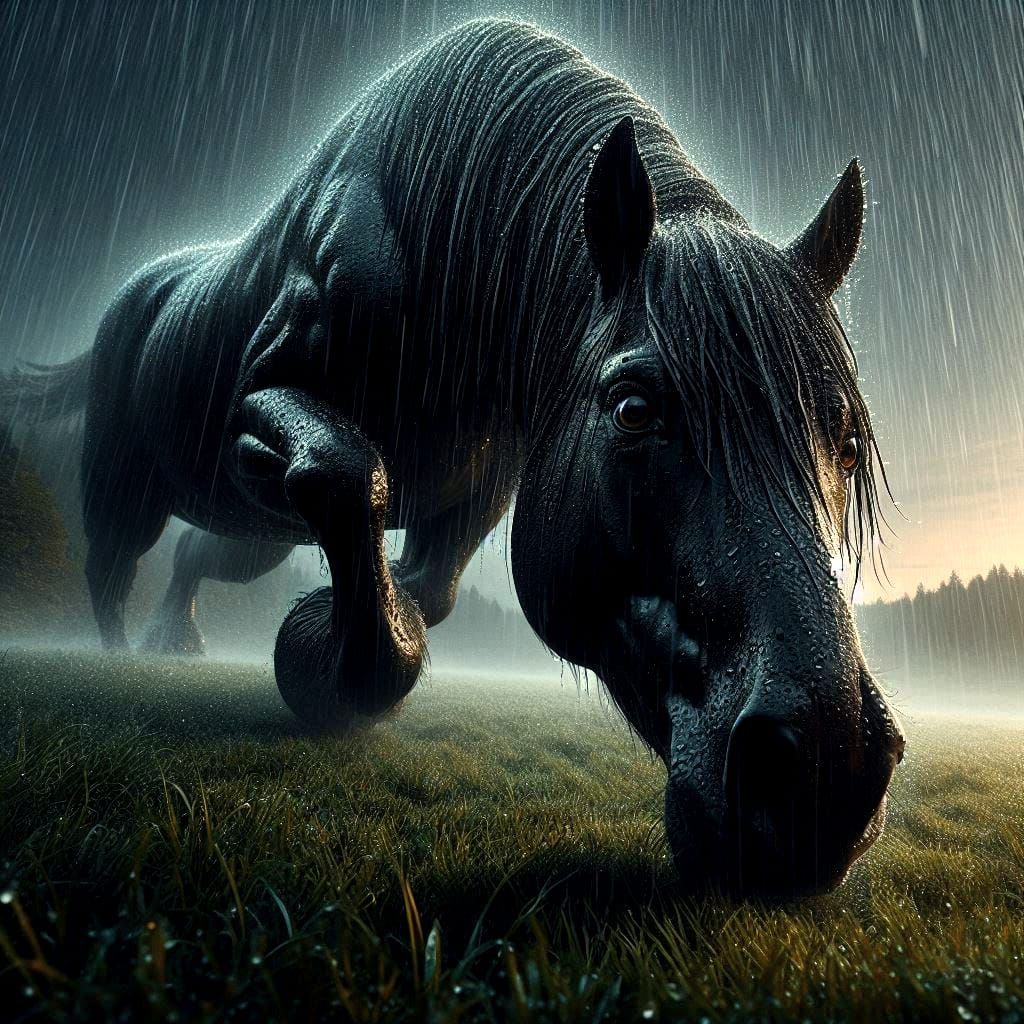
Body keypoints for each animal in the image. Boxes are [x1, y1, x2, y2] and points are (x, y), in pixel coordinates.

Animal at [3, 18, 904, 897]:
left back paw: (176, 644)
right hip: (128, 495)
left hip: (253, 537)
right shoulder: (257, 410)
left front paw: (355, 623)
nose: (828, 777)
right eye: (634, 409)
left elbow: (427, 587)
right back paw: (122, 661)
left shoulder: (482, 487)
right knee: (112, 569)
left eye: (846, 443)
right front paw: (322, 658)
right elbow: (345, 474)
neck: (452, 253)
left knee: (193, 558)